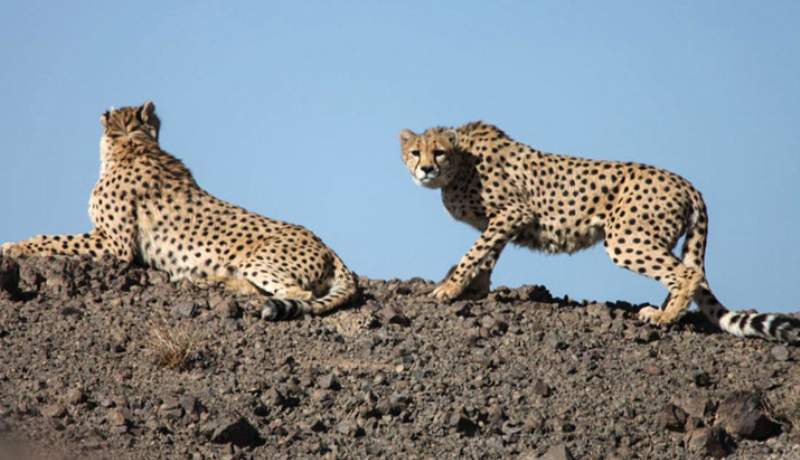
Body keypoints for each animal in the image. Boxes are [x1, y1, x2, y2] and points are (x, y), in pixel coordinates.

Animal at [0, 102, 356, 318]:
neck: (134, 145)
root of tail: (329, 247)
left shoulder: (116, 246)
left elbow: (55, 239)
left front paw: (15, 245)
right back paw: (211, 280)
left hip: (256, 259)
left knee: (299, 293)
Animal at [400, 121, 800, 342]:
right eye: (415, 152)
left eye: (438, 152)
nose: (425, 169)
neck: (460, 163)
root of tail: (687, 183)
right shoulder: (500, 221)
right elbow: (487, 254)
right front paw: (476, 290)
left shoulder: (513, 211)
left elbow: (474, 253)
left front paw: (449, 289)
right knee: (685, 273)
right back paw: (661, 310)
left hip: (625, 237)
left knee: (688, 273)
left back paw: (663, 318)